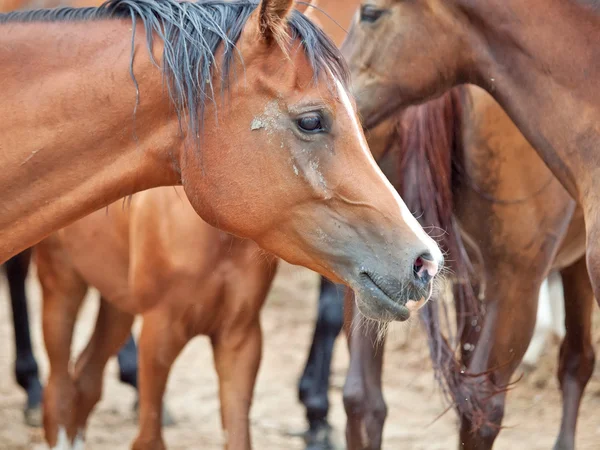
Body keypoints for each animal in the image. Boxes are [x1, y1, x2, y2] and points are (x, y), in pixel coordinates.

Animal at [37, 186, 278, 450]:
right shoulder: (160, 331)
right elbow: (149, 438)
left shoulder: (238, 337)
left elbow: (238, 436)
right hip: (62, 286)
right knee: (59, 389)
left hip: (117, 307)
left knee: (86, 377)